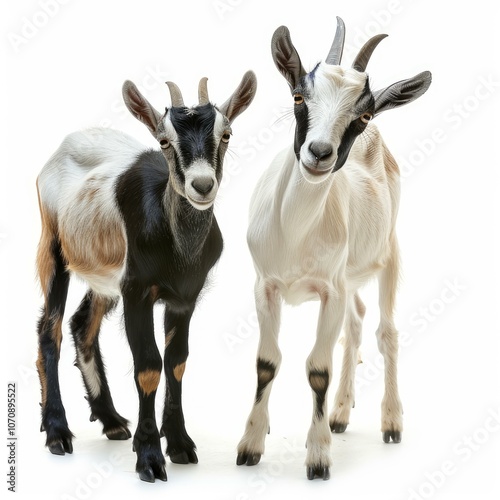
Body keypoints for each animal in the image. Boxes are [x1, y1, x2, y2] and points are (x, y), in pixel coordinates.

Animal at [34, 70, 258, 480]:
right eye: (164, 140)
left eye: (226, 134)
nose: (202, 185)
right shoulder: (137, 291)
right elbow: (149, 365)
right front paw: (150, 456)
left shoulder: (184, 297)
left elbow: (177, 361)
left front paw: (180, 443)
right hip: (54, 248)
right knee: (50, 328)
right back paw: (57, 431)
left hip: (104, 278)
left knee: (81, 324)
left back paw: (110, 421)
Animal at [236, 16, 432, 480]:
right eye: (298, 96)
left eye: (361, 113)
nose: (319, 153)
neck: (295, 233)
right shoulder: (265, 286)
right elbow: (266, 362)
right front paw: (251, 444)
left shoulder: (330, 290)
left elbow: (317, 370)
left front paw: (318, 457)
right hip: (351, 278)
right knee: (356, 323)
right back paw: (341, 414)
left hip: (388, 256)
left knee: (385, 331)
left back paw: (390, 422)